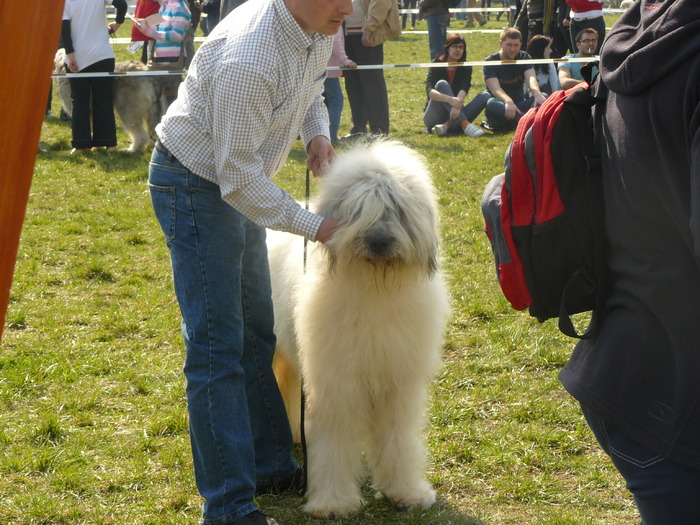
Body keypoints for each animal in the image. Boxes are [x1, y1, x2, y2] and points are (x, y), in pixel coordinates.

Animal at [266, 138, 452, 516]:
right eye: (358, 210)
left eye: (396, 209)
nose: (379, 241)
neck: (374, 289)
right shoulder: (337, 380)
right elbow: (336, 439)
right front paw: (334, 502)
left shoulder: (398, 381)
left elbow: (398, 437)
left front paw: (406, 491)